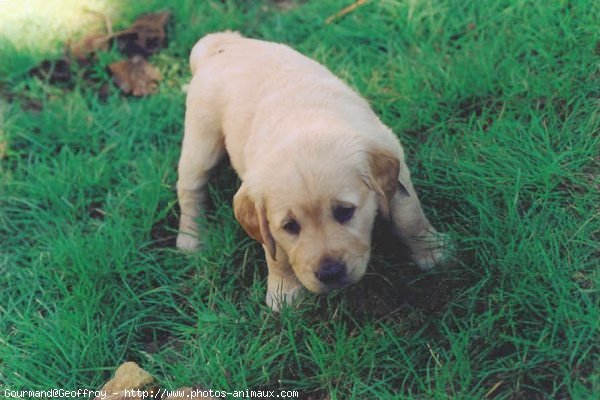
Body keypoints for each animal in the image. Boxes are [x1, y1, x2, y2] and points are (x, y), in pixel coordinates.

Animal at [176, 32, 442, 310]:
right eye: (290, 226)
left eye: (345, 212)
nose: (330, 273)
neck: (304, 124)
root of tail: (223, 42)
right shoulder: (267, 224)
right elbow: (278, 256)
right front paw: (283, 293)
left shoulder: (394, 165)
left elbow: (409, 216)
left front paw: (432, 253)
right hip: (201, 142)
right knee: (189, 189)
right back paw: (191, 239)